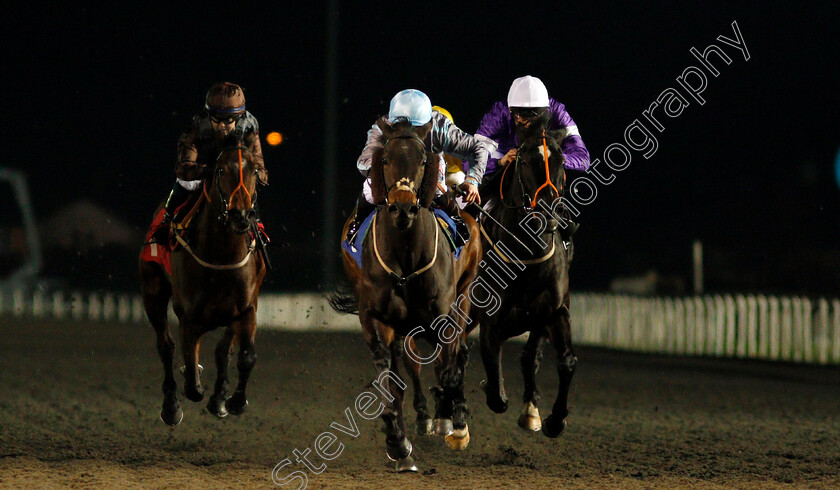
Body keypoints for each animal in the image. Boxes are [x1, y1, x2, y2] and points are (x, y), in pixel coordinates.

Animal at [139, 133, 266, 424]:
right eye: (220, 170)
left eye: (254, 170)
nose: (241, 216)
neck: (221, 257)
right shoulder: (189, 315)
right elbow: (189, 374)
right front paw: (191, 379)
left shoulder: (246, 308)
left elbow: (245, 356)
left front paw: (233, 401)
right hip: (152, 292)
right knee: (166, 346)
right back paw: (171, 407)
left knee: (222, 351)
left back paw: (218, 398)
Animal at [334, 117, 482, 470]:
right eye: (386, 159)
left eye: (423, 160)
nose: (403, 209)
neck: (405, 255)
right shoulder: (377, 319)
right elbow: (390, 379)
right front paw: (399, 444)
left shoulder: (444, 314)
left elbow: (448, 365)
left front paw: (449, 421)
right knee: (413, 364)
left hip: (464, 294)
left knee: (457, 354)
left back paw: (455, 419)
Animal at [472, 117, 576, 438]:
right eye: (526, 160)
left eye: (561, 160)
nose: (549, 209)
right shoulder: (491, 319)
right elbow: (495, 389)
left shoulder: (553, 310)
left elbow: (563, 361)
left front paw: (554, 420)